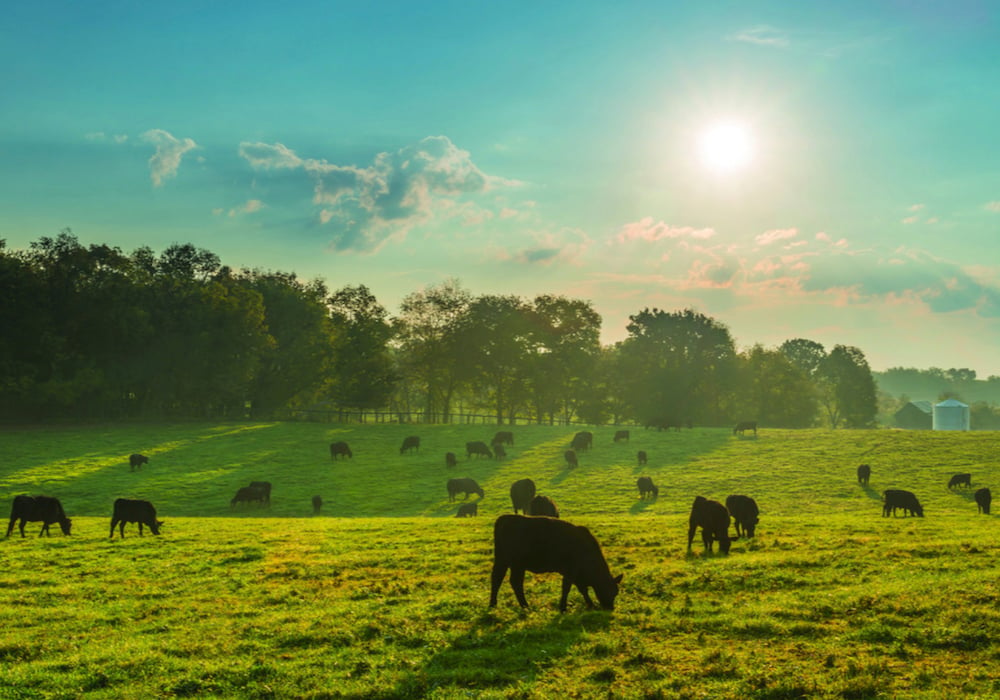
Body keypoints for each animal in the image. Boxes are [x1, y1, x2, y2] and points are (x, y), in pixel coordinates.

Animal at [488, 516, 620, 612]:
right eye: (611, 591)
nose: (610, 608)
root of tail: (505, 518)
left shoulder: (577, 575)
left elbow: (582, 589)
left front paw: (590, 604)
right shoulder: (571, 571)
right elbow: (567, 588)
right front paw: (563, 608)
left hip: (503, 561)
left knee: (498, 579)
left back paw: (493, 605)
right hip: (516, 564)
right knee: (514, 582)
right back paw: (525, 606)